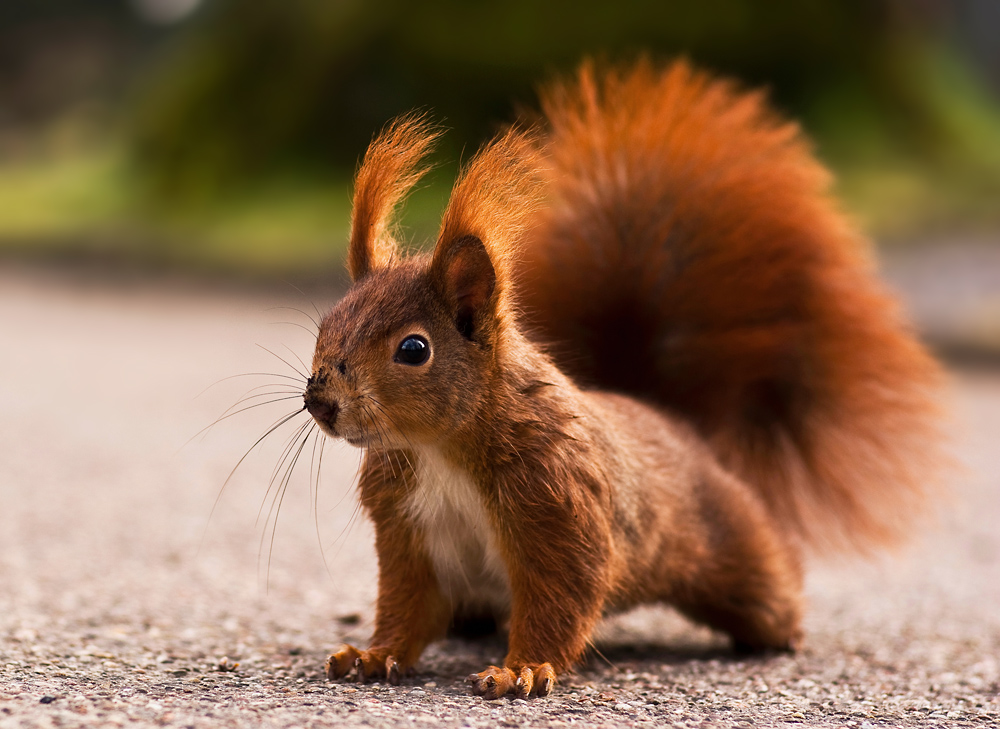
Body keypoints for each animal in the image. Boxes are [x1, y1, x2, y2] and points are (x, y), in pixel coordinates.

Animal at [300, 61, 940, 700]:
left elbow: (560, 597)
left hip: (734, 546)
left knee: (769, 589)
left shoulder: (558, 503)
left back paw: (786, 635)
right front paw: (374, 654)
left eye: (414, 349)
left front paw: (520, 668)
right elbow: (407, 607)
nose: (319, 402)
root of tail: (672, 421)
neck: (437, 450)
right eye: (326, 326)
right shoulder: (407, 532)